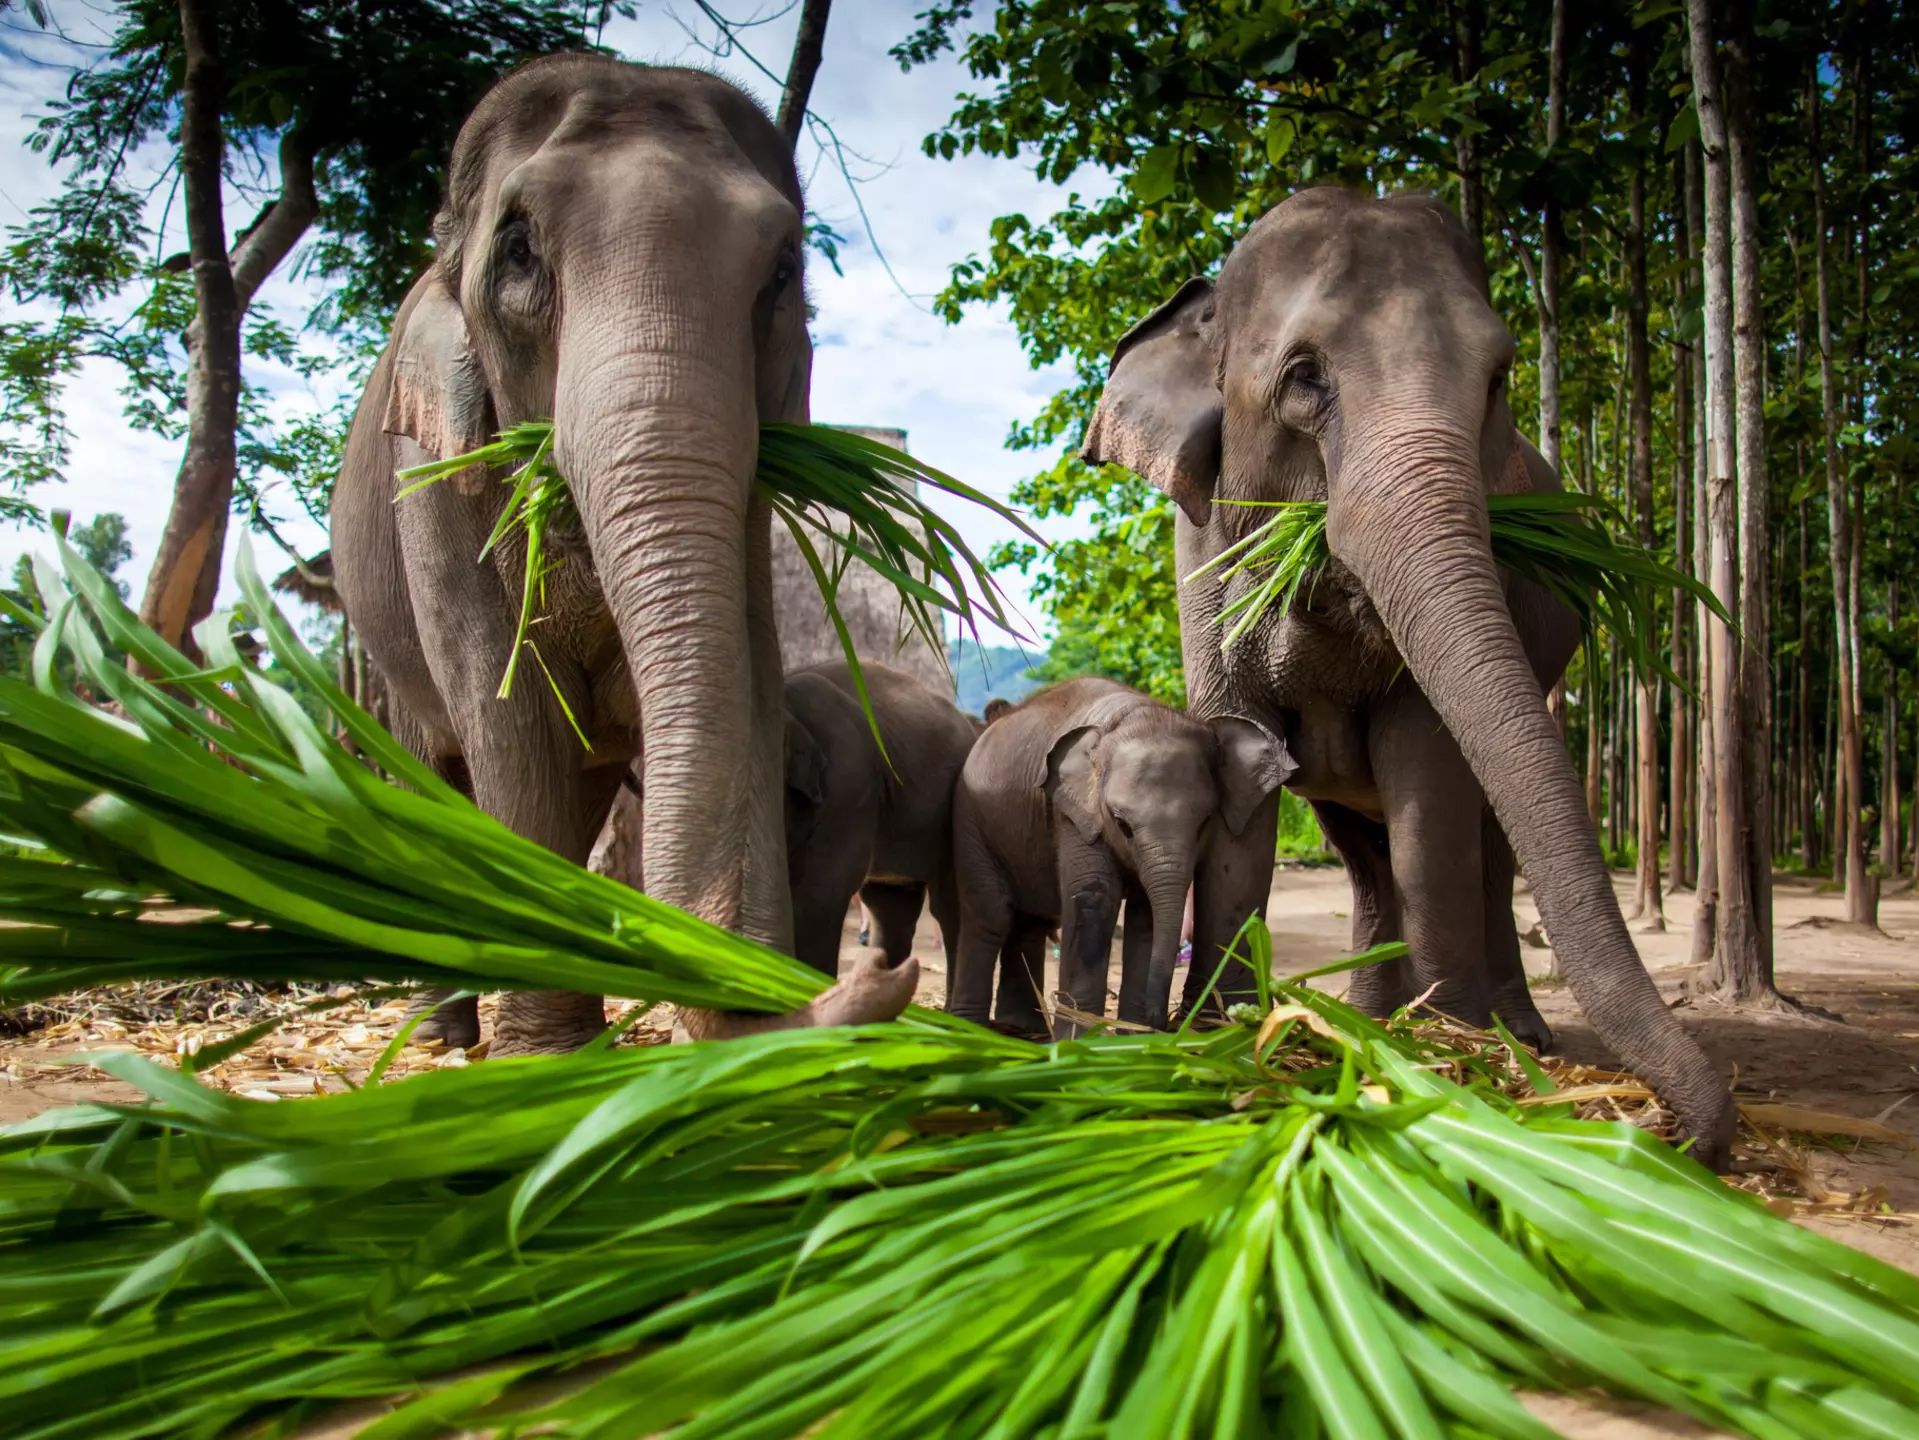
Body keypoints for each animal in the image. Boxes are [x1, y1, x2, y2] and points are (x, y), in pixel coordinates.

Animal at [329, 55, 915, 1054]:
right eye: (518, 251)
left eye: (783, 271)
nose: (877, 972)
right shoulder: (432, 476)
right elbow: (509, 715)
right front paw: (545, 1055)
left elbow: (747, 677)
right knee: (437, 769)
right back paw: (442, 1033)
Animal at [949, 678, 1294, 1036]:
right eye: (1121, 823)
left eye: (1205, 823)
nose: (1161, 1022)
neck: (1135, 714)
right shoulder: (1073, 814)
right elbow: (1093, 896)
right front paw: (1082, 1040)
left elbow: (1144, 917)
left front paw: (1134, 1036)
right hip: (970, 820)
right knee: (990, 914)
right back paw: (967, 1028)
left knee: (1031, 922)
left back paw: (1023, 1028)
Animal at [1081, 186, 1734, 1163]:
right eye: (1304, 378)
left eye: (1498, 378)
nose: (1673, 1133)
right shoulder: (1195, 560)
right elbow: (1243, 771)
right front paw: (1224, 1032)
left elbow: (1427, 776)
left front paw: (1448, 1046)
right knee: (1359, 851)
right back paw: (1362, 1016)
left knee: (1483, 846)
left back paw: (1506, 1032)